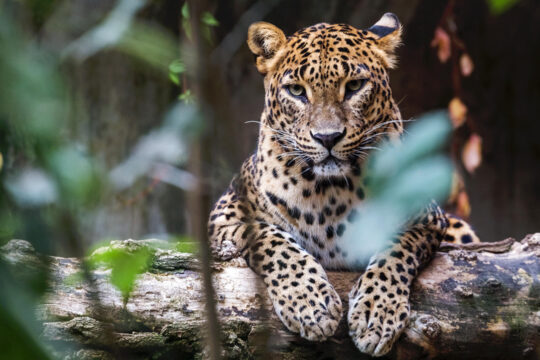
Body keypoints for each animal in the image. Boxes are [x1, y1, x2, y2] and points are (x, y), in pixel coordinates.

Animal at [208, 12, 480, 356]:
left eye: (354, 86)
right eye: (296, 90)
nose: (327, 137)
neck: (330, 191)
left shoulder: (427, 219)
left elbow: (395, 250)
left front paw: (377, 315)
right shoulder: (225, 216)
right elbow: (273, 241)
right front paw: (310, 305)